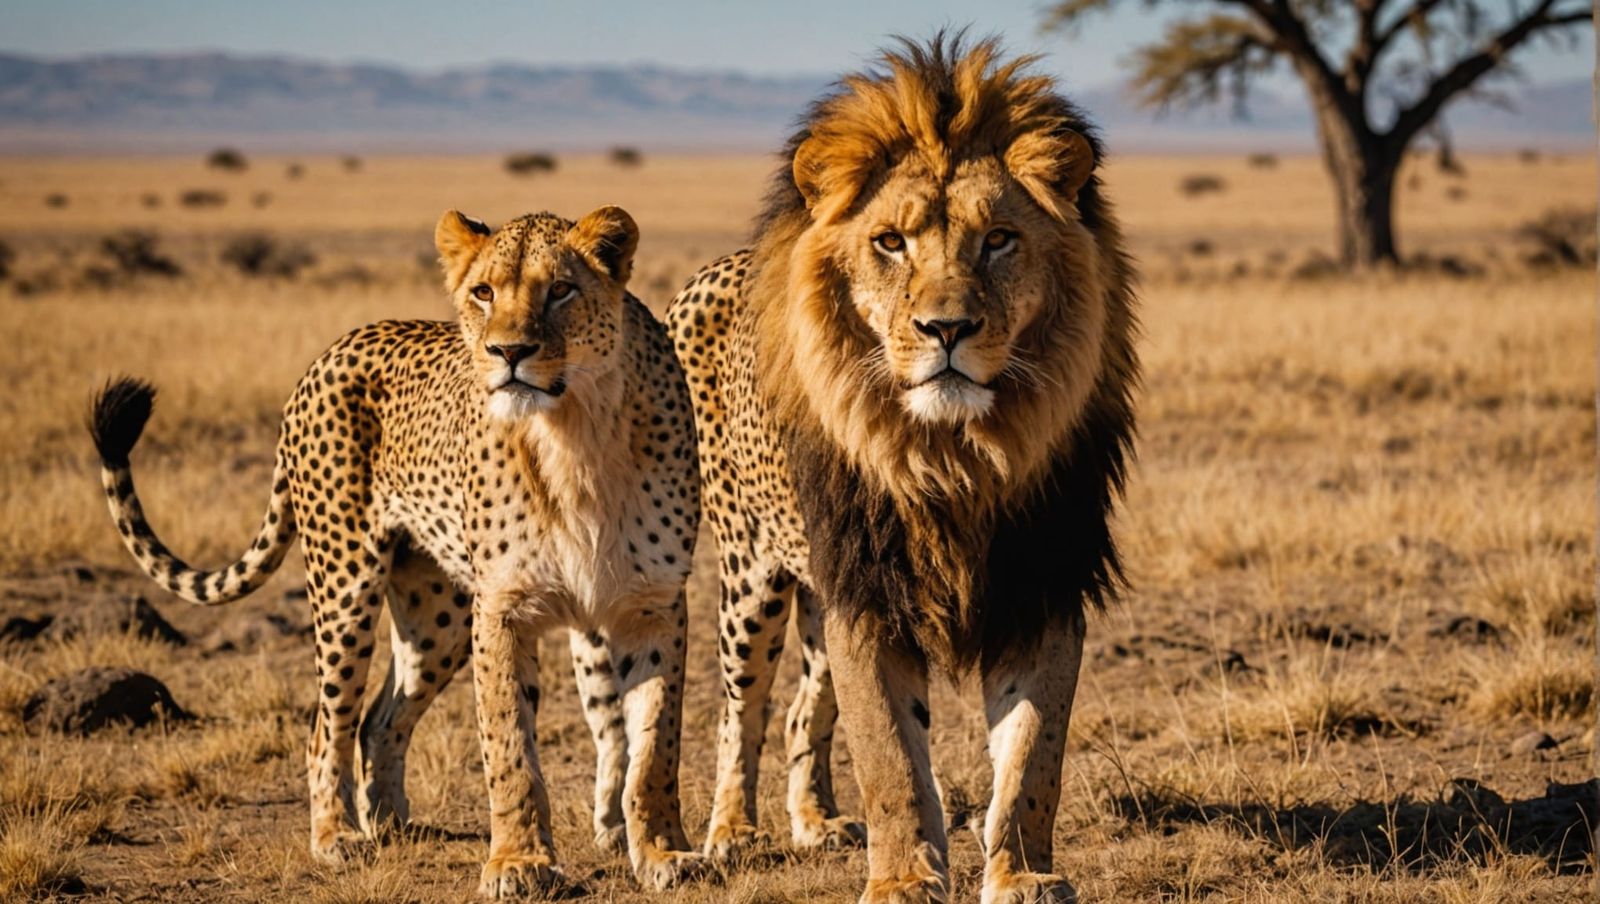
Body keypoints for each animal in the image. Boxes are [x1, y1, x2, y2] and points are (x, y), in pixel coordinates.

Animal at [89, 205, 707, 898]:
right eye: (484, 292)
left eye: (560, 290)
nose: (508, 353)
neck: (576, 428)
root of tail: (337, 346)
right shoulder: (502, 609)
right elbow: (509, 746)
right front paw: (518, 862)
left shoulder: (651, 605)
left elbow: (654, 746)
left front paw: (661, 852)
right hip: (348, 586)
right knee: (325, 727)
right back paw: (337, 837)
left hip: (438, 619)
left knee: (380, 720)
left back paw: (389, 822)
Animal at [666, 35, 1139, 904]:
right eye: (891, 242)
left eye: (998, 239)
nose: (946, 328)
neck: (954, 454)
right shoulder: (867, 590)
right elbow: (889, 758)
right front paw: (901, 881)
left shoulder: (1042, 584)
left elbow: (1032, 759)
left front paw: (1020, 874)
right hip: (752, 572)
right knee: (741, 712)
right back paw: (732, 835)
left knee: (802, 714)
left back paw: (818, 824)